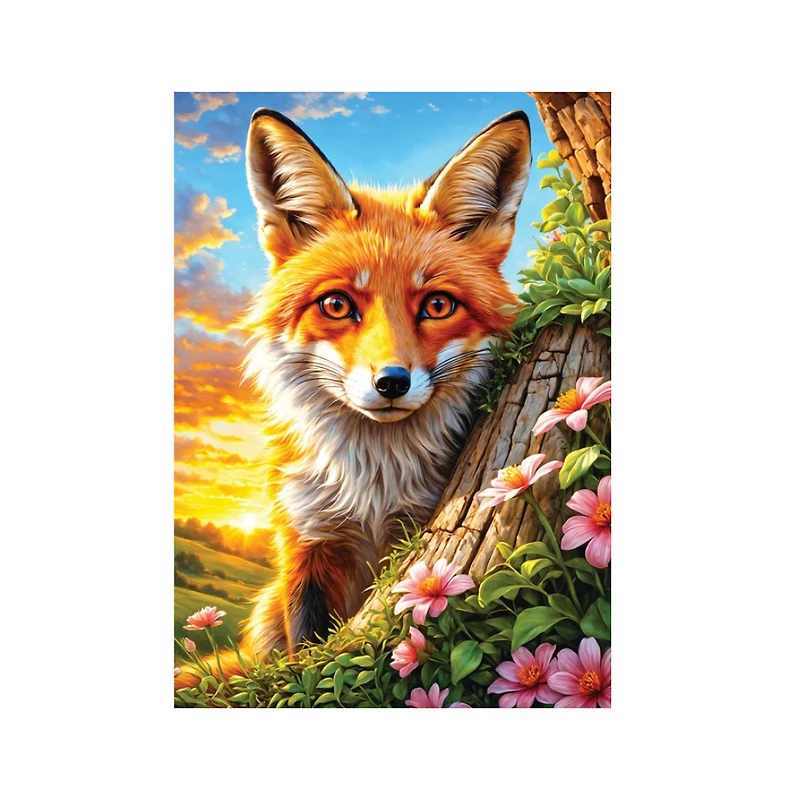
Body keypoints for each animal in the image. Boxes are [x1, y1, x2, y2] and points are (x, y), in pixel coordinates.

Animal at [176, 107, 532, 686]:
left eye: (437, 305)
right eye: (337, 305)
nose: (391, 382)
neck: (374, 488)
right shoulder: (308, 545)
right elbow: (306, 659)